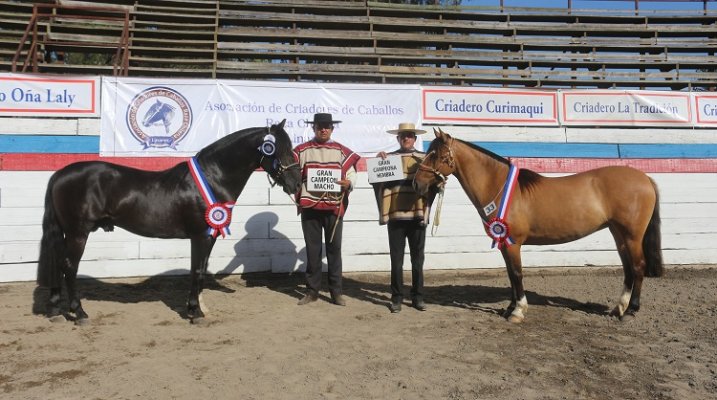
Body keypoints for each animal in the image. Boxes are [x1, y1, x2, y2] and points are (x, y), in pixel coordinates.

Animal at [37, 120, 300, 324]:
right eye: (278, 150)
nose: (296, 184)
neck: (213, 177)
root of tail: (59, 174)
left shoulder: (209, 235)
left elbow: (201, 268)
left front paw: (199, 308)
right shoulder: (200, 236)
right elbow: (196, 270)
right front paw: (195, 313)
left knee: (58, 264)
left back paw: (55, 310)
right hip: (78, 233)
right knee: (69, 266)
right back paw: (79, 313)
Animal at [412, 130, 664, 324]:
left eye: (436, 154)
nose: (417, 183)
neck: (501, 188)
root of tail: (645, 178)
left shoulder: (513, 243)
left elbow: (516, 273)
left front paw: (517, 311)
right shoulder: (505, 243)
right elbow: (510, 275)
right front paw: (509, 308)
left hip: (632, 235)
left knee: (638, 267)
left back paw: (631, 310)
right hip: (618, 233)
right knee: (628, 268)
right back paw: (618, 308)